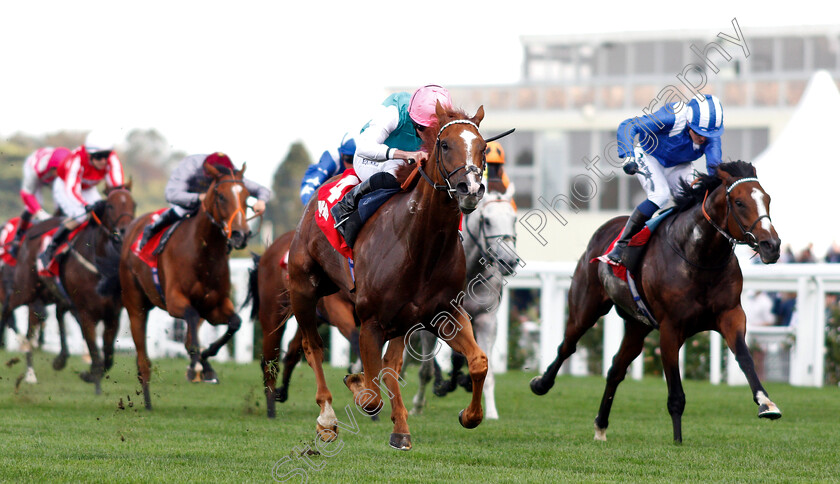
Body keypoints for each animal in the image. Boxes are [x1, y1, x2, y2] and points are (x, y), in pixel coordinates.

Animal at [118, 164, 251, 410]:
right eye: (221, 196)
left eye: (246, 196)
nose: (241, 234)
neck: (203, 252)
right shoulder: (175, 300)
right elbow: (190, 319)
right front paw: (198, 363)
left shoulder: (214, 305)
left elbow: (234, 323)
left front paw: (206, 360)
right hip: (135, 303)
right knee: (143, 358)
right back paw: (148, 401)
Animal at [246, 229, 358, 418]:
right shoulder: (338, 309)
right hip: (273, 314)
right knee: (270, 360)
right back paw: (271, 408)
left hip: (307, 315)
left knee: (292, 351)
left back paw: (281, 392)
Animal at [288, 104, 488, 452]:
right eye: (444, 144)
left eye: (483, 147)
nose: (471, 189)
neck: (419, 243)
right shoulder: (370, 320)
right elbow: (371, 397)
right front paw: (355, 385)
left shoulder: (445, 312)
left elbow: (478, 361)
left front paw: (469, 416)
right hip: (304, 289)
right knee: (313, 347)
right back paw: (327, 419)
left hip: (401, 320)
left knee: (391, 366)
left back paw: (401, 428)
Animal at [528, 163, 784, 442]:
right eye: (739, 202)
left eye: (768, 199)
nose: (772, 245)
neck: (700, 258)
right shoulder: (671, 328)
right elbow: (676, 394)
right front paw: (677, 441)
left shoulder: (731, 315)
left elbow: (745, 358)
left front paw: (766, 404)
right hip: (585, 307)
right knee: (567, 346)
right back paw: (541, 384)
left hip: (637, 326)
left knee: (616, 369)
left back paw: (601, 425)